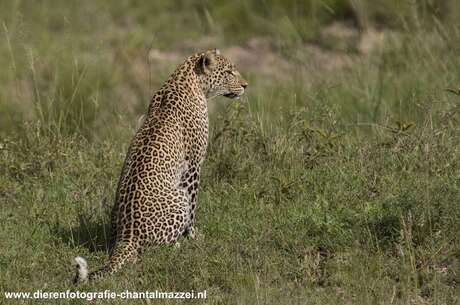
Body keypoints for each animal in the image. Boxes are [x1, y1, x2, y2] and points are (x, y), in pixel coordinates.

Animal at [73, 48, 248, 282]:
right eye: (229, 72)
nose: (245, 85)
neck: (188, 80)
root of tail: (126, 237)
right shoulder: (193, 166)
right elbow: (193, 208)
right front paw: (194, 237)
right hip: (179, 200)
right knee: (152, 250)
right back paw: (176, 245)